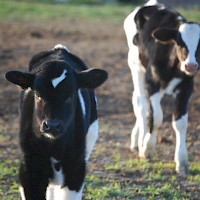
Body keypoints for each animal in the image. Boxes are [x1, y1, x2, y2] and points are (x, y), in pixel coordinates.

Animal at [5, 44, 108, 199]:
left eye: (70, 95)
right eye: (37, 94)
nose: (52, 125)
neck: (55, 147)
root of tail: (59, 49)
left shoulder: (75, 169)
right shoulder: (29, 170)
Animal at [124, 0, 199, 175]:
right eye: (179, 42)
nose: (191, 66)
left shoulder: (186, 88)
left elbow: (180, 122)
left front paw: (182, 161)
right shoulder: (152, 84)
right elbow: (156, 117)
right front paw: (147, 148)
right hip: (136, 67)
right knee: (141, 105)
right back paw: (140, 141)